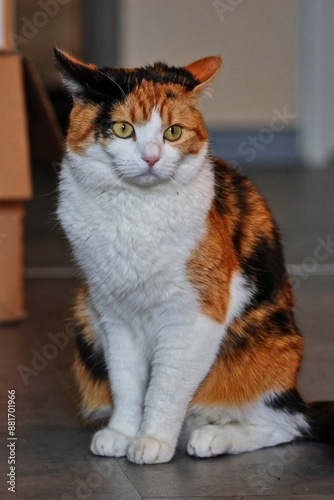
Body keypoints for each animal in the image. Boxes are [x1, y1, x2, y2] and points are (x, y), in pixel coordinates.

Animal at [53, 47, 332, 464]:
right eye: (123, 129)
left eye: (173, 132)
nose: (151, 158)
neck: (135, 210)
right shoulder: (113, 314)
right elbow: (127, 381)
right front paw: (122, 432)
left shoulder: (197, 313)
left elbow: (166, 386)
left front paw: (152, 440)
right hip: (84, 313)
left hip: (261, 346)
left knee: (287, 424)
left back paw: (214, 437)